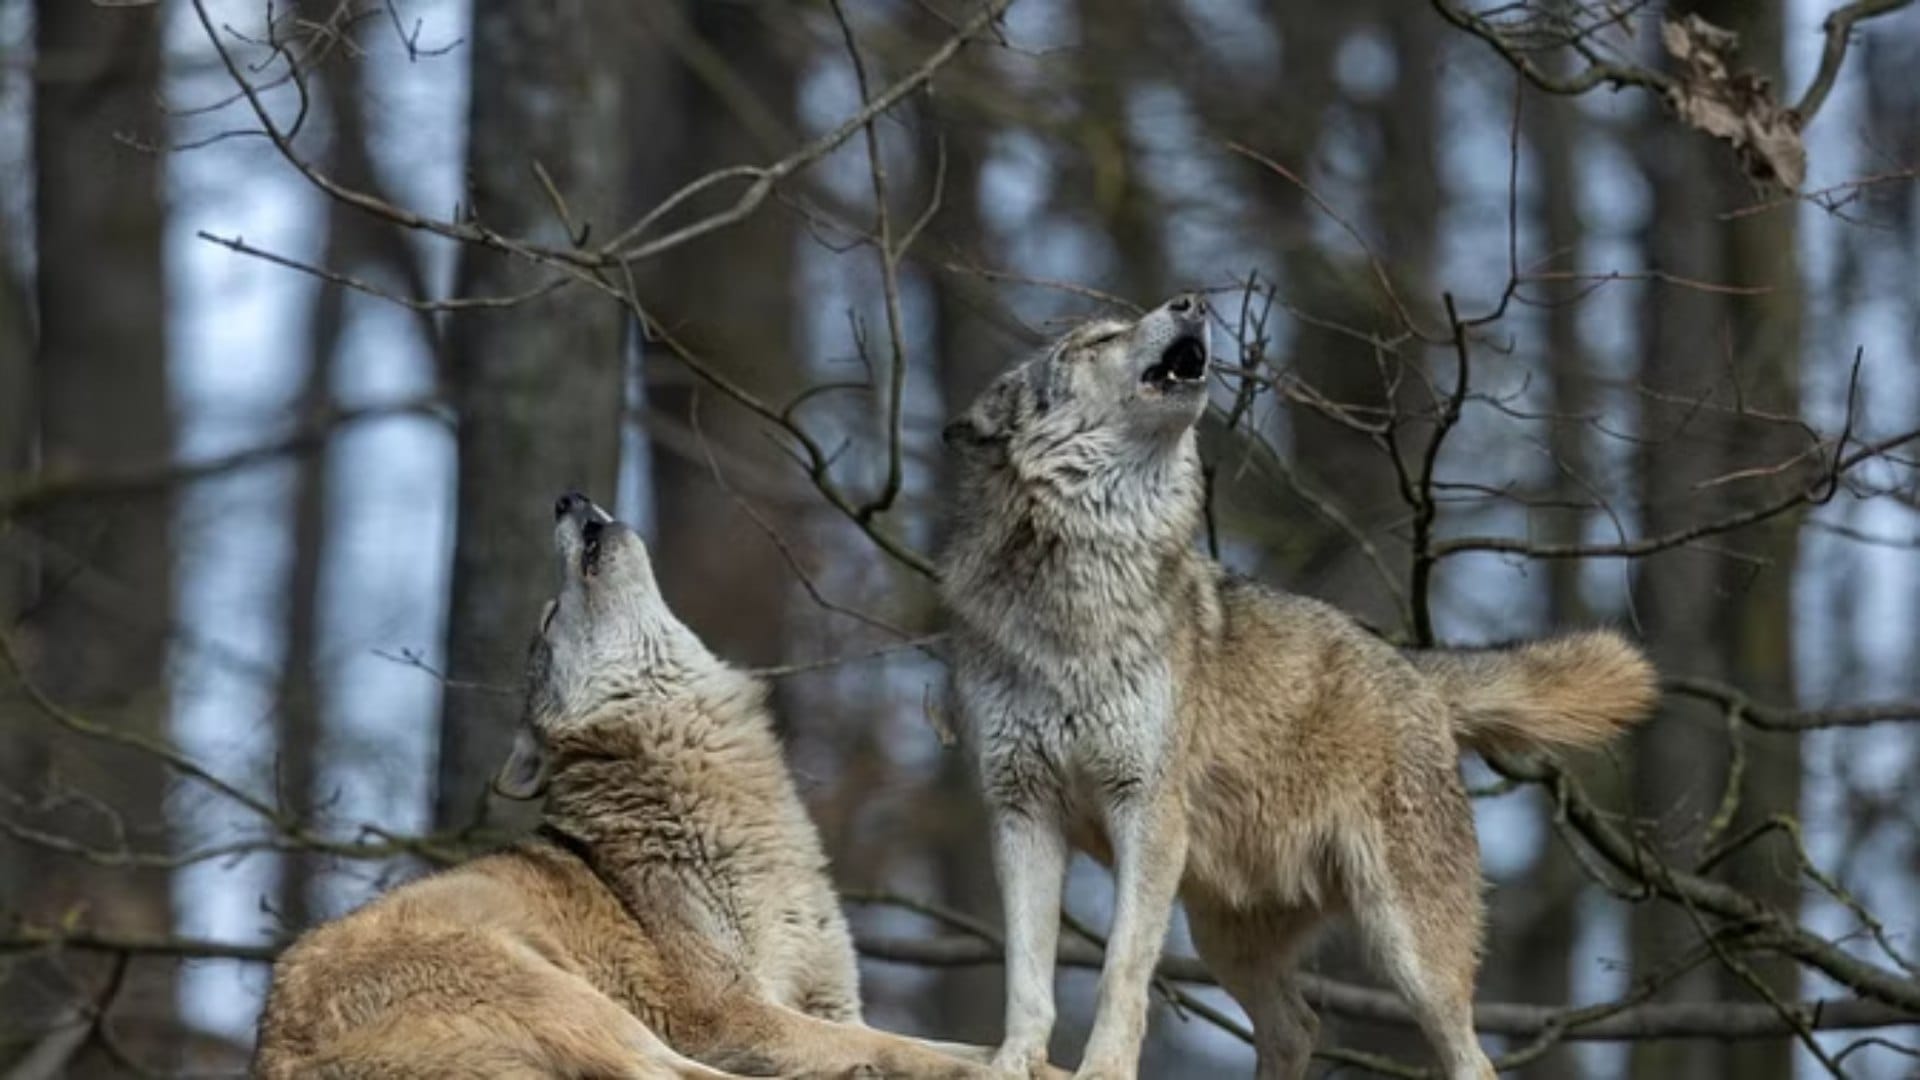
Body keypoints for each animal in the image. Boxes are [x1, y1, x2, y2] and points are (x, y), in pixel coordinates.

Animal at [256, 493, 1036, 1079]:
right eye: (548, 617)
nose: (567, 497)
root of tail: (279, 1057)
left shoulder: (830, 1001)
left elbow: (953, 1045)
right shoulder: (731, 1013)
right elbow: (905, 1048)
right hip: (566, 995)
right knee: (676, 1074)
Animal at [938, 297, 1657, 1080]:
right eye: (1101, 338)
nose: (1192, 301)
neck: (1078, 593)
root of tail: (1415, 668)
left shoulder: (1146, 811)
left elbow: (1120, 971)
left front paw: (1103, 1071)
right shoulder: (1022, 810)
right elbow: (1025, 974)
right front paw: (1011, 1060)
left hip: (1410, 952)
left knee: (1469, 1057)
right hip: (1223, 931)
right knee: (1297, 1025)